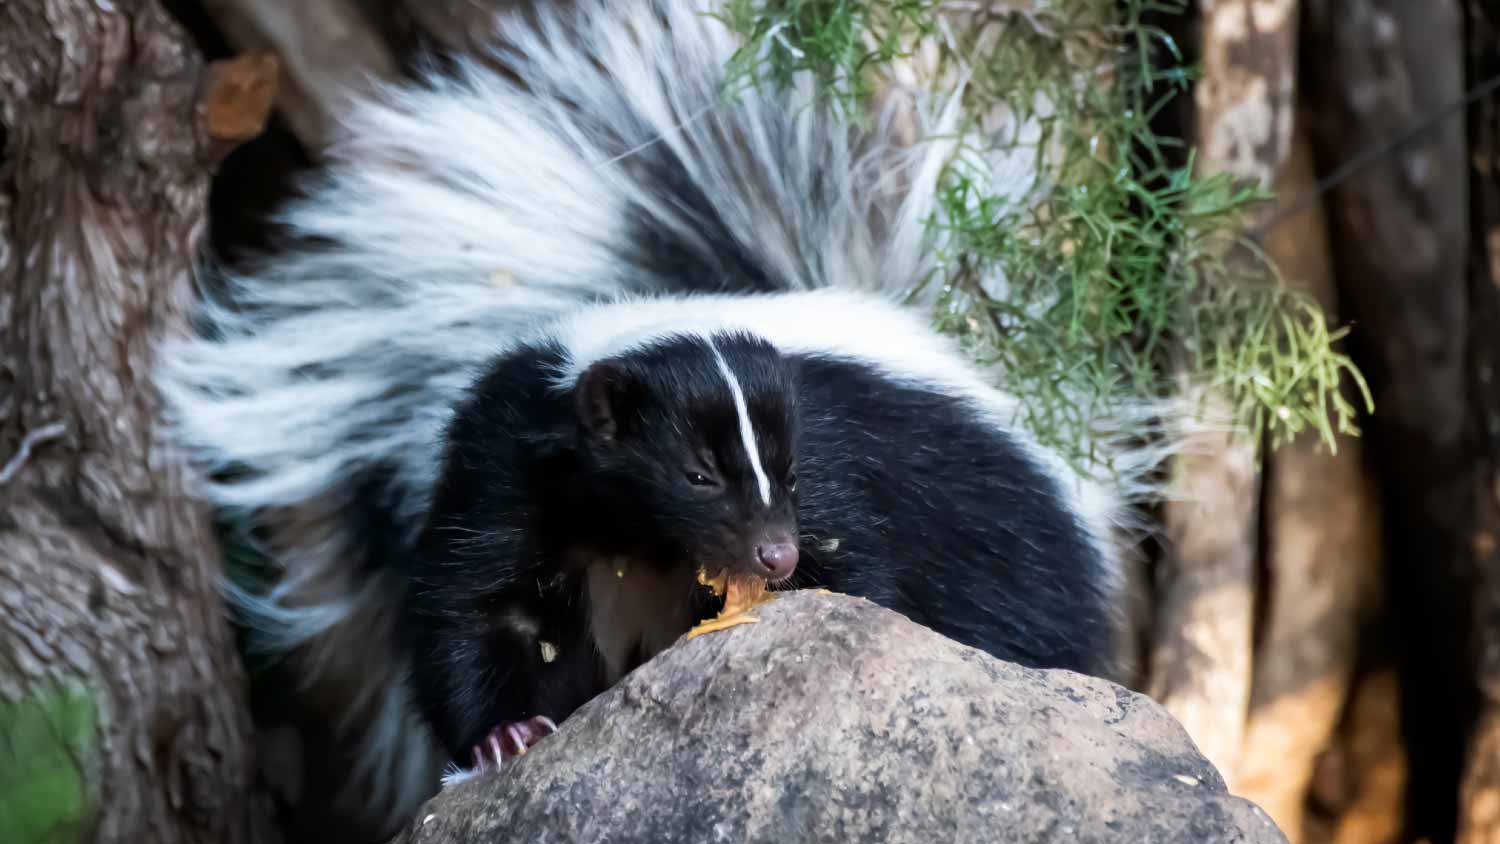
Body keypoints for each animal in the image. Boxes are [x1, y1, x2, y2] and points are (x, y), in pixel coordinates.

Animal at [158, 0, 1170, 833]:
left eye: (782, 470)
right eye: (694, 472)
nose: (775, 554)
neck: (638, 539)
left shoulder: (836, 472)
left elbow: (863, 580)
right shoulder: (505, 461)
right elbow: (476, 605)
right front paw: (505, 737)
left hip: (1007, 549)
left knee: (1016, 628)